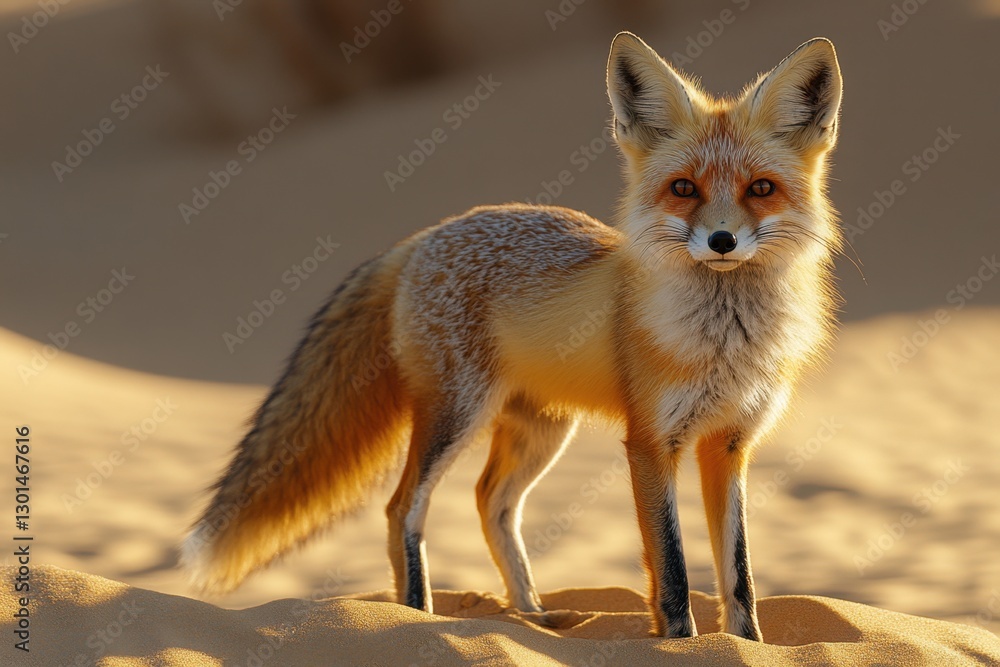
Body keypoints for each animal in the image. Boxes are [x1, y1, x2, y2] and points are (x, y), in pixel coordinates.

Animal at [182, 32, 843, 640]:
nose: (722, 241)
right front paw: (681, 642)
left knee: (491, 503)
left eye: (761, 188)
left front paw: (748, 645)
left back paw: (531, 616)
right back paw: (417, 615)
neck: (725, 343)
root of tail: (424, 236)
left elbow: (739, 574)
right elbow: (675, 571)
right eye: (684, 188)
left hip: (542, 428)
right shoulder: (651, 442)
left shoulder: (729, 445)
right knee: (404, 508)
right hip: (456, 414)